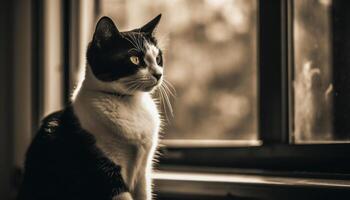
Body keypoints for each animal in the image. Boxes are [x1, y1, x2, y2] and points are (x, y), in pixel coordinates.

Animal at [18, 14, 165, 200]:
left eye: (158, 58)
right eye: (135, 59)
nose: (158, 74)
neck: (128, 102)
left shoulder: (143, 171)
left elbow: (144, 192)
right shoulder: (102, 169)